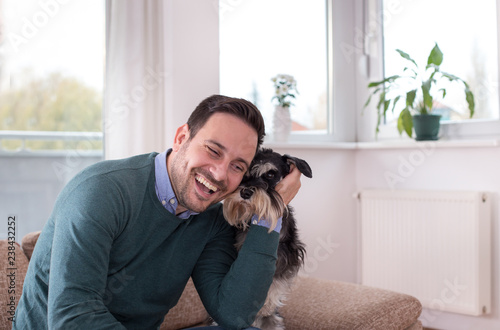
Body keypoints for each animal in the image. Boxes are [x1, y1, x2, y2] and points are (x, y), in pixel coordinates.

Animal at [223, 148, 312, 328]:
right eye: (244, 174)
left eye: (270, 174)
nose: (245, 192)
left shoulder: (286, 256)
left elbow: (275, 282)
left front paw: (266, 307)